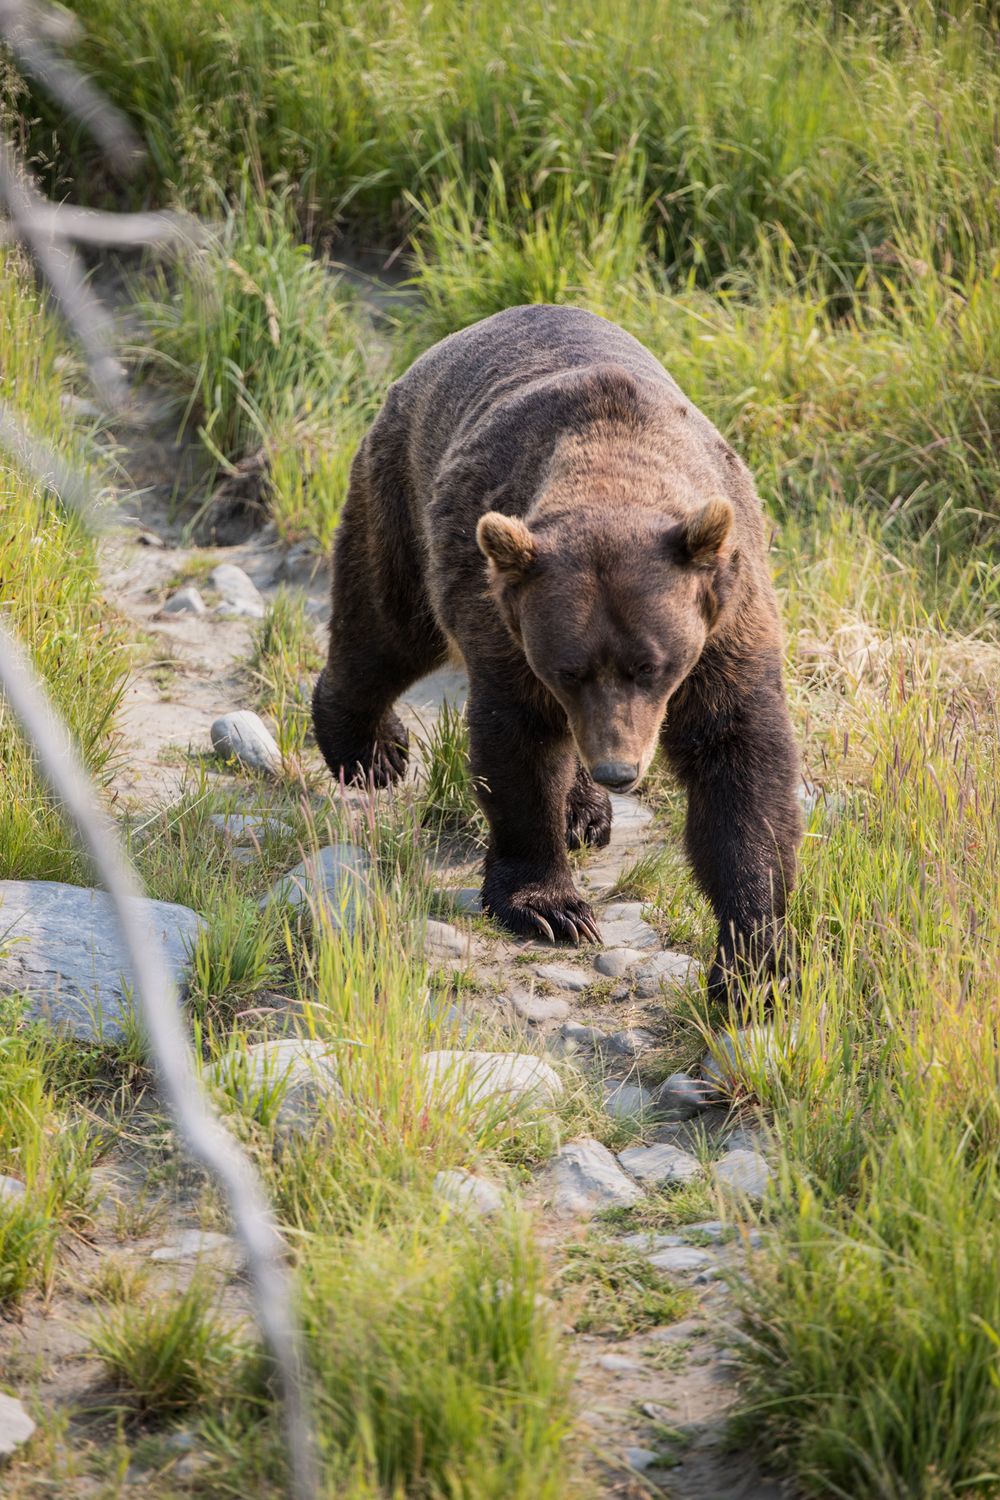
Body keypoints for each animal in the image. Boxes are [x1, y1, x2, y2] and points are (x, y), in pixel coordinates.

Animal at [312, 304, 802, 997]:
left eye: (651, 666)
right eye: (569, 669)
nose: (620, 769)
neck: (612, 469)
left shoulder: (726, 630)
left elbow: (741, 767)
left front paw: (753, 962)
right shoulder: (503, 619)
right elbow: (518, 746)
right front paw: (551, 907)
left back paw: (585, 810)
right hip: (404, 493)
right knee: (388, 626)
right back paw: (369, 750)